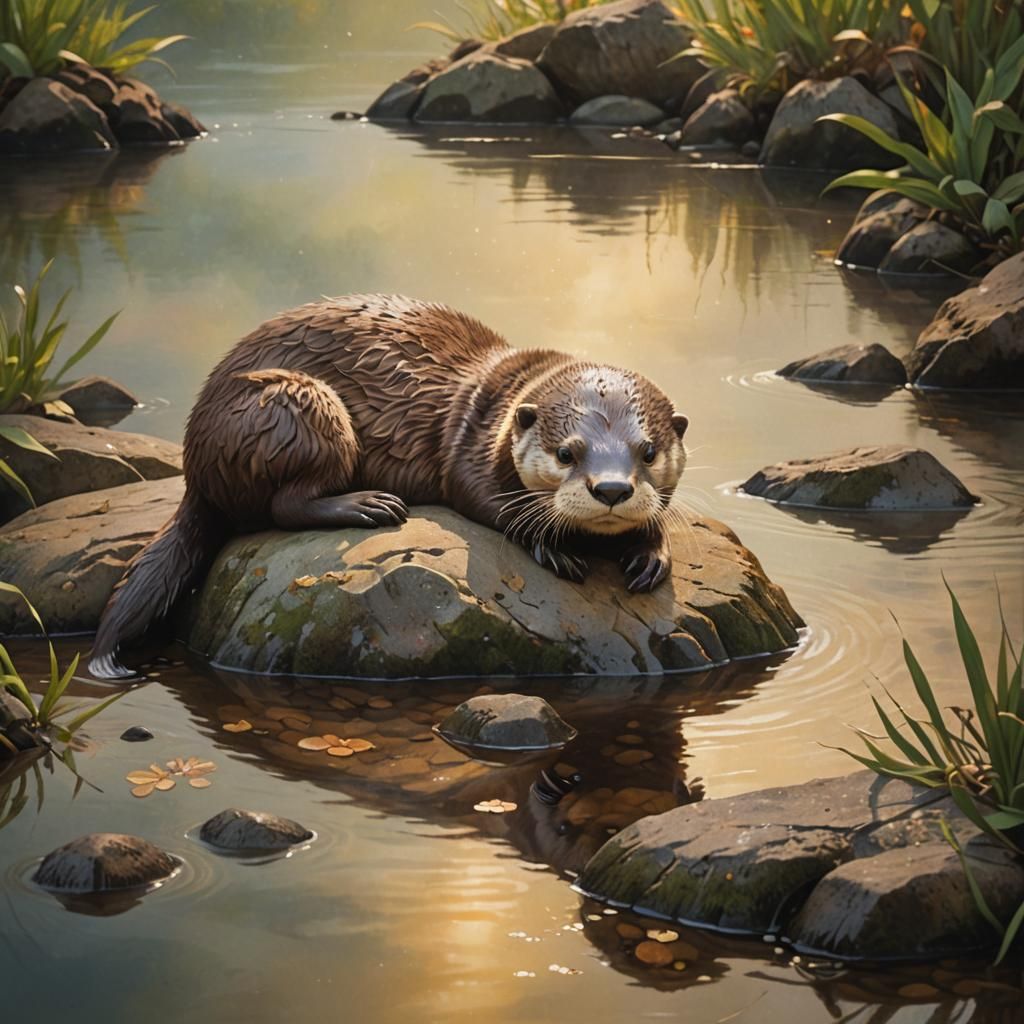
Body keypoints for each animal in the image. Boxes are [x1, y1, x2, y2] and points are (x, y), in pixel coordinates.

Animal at [89, 295, 689, 679]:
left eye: (647, 452)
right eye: (567, 453)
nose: (610, 490)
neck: (507, 395)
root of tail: (195, 456)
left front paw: (650, 553)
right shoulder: (468, 449)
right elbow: (487, 501)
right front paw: (555, 547)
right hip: (292, 405)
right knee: (283, 506)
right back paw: (366, 505)